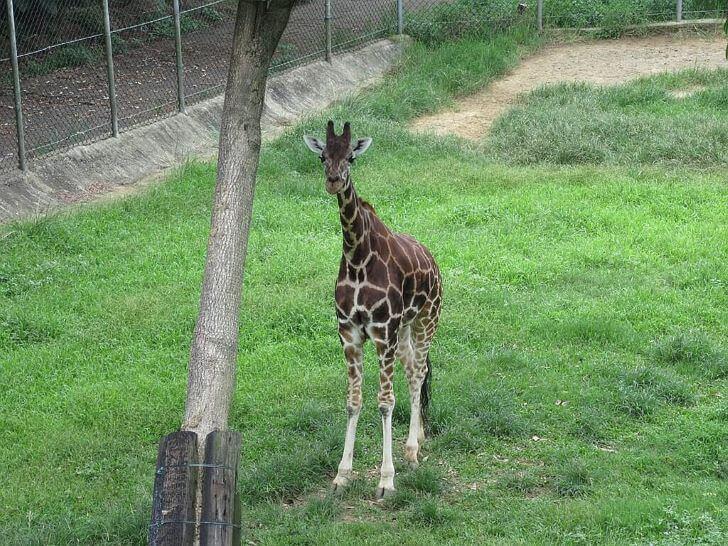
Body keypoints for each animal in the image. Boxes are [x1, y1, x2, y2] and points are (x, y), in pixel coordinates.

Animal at [302, 120, 440, 498]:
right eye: (322, 155)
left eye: (351, 156)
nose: (333, 180)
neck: (357, 257)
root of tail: (432, 258)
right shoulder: (349, 333)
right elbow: (353, 401)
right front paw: (342, 475)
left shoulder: (382, 332)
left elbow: (385, 402)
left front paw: (386, 479)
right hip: (405, 328)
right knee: (413, 369)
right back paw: (417, 439)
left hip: (426, 319)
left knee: (419, 371)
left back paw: (412, 449)